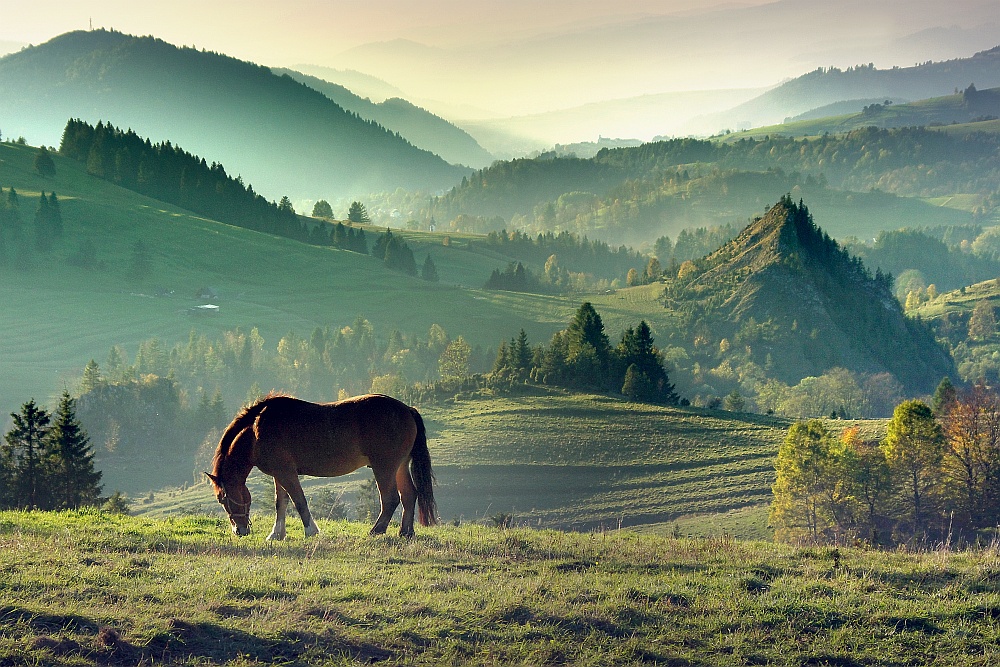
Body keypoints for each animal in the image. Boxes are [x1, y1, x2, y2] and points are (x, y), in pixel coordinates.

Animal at [205, 394, 436, 540]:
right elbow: (281, 503)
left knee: (390, 499)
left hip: (384, 468)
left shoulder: (287, 473)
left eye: (222, 499)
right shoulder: (279, 474)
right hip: (399, 467)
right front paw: (277, 534)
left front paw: (311, 531)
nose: (239, 530)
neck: (256, 431)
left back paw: (377, 530)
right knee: (409, 495)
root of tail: (407, 410)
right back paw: (406, 532)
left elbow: (299, 501)